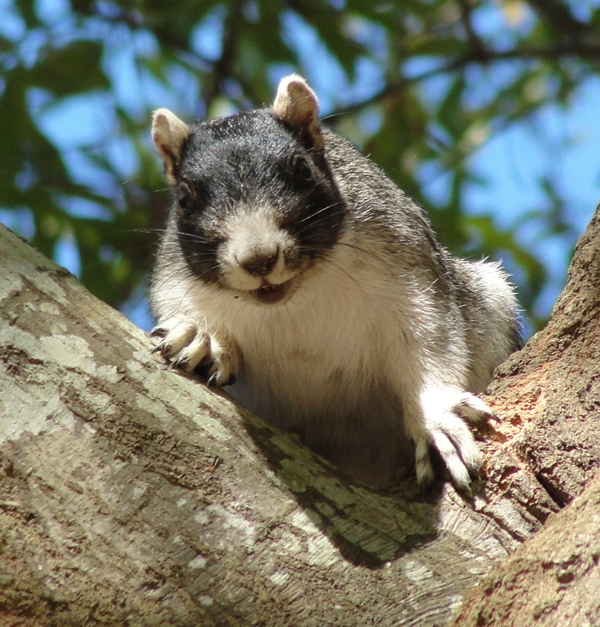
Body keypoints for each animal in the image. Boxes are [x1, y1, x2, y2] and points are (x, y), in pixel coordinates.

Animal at [149, 75, 520, 490]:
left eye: (303, 170)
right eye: (184, 199)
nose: (258, 258)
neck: (295, 299)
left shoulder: (410, 267)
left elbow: (429, 342)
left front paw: (437, 417)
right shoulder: (174, 277)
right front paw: (202, 335)